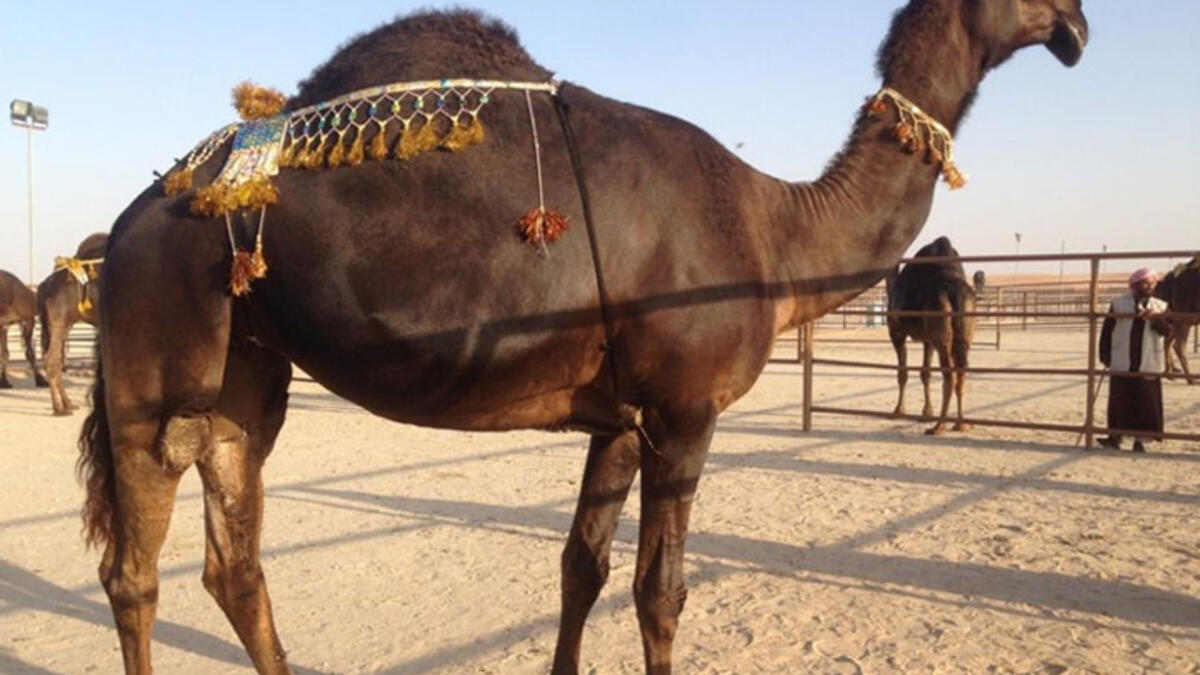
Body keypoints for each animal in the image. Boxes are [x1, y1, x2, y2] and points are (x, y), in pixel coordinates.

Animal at [37, 233, 107, 415]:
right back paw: (59, 408)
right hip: (59, 321)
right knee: (52, 359)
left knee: (57, 359)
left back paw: (68, 404)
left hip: (65, 323)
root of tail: (45, 285)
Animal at [886, 236, 977, 435]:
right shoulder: (928, 340)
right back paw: (961, 424)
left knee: (949, 374)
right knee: (961, 371)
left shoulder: (896, 332)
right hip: (965, 328)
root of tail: (954, 290)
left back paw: (939, 426)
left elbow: (902, 372)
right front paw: (927, 413)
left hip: (940, 329)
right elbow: (925, 373)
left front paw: (898, 411)